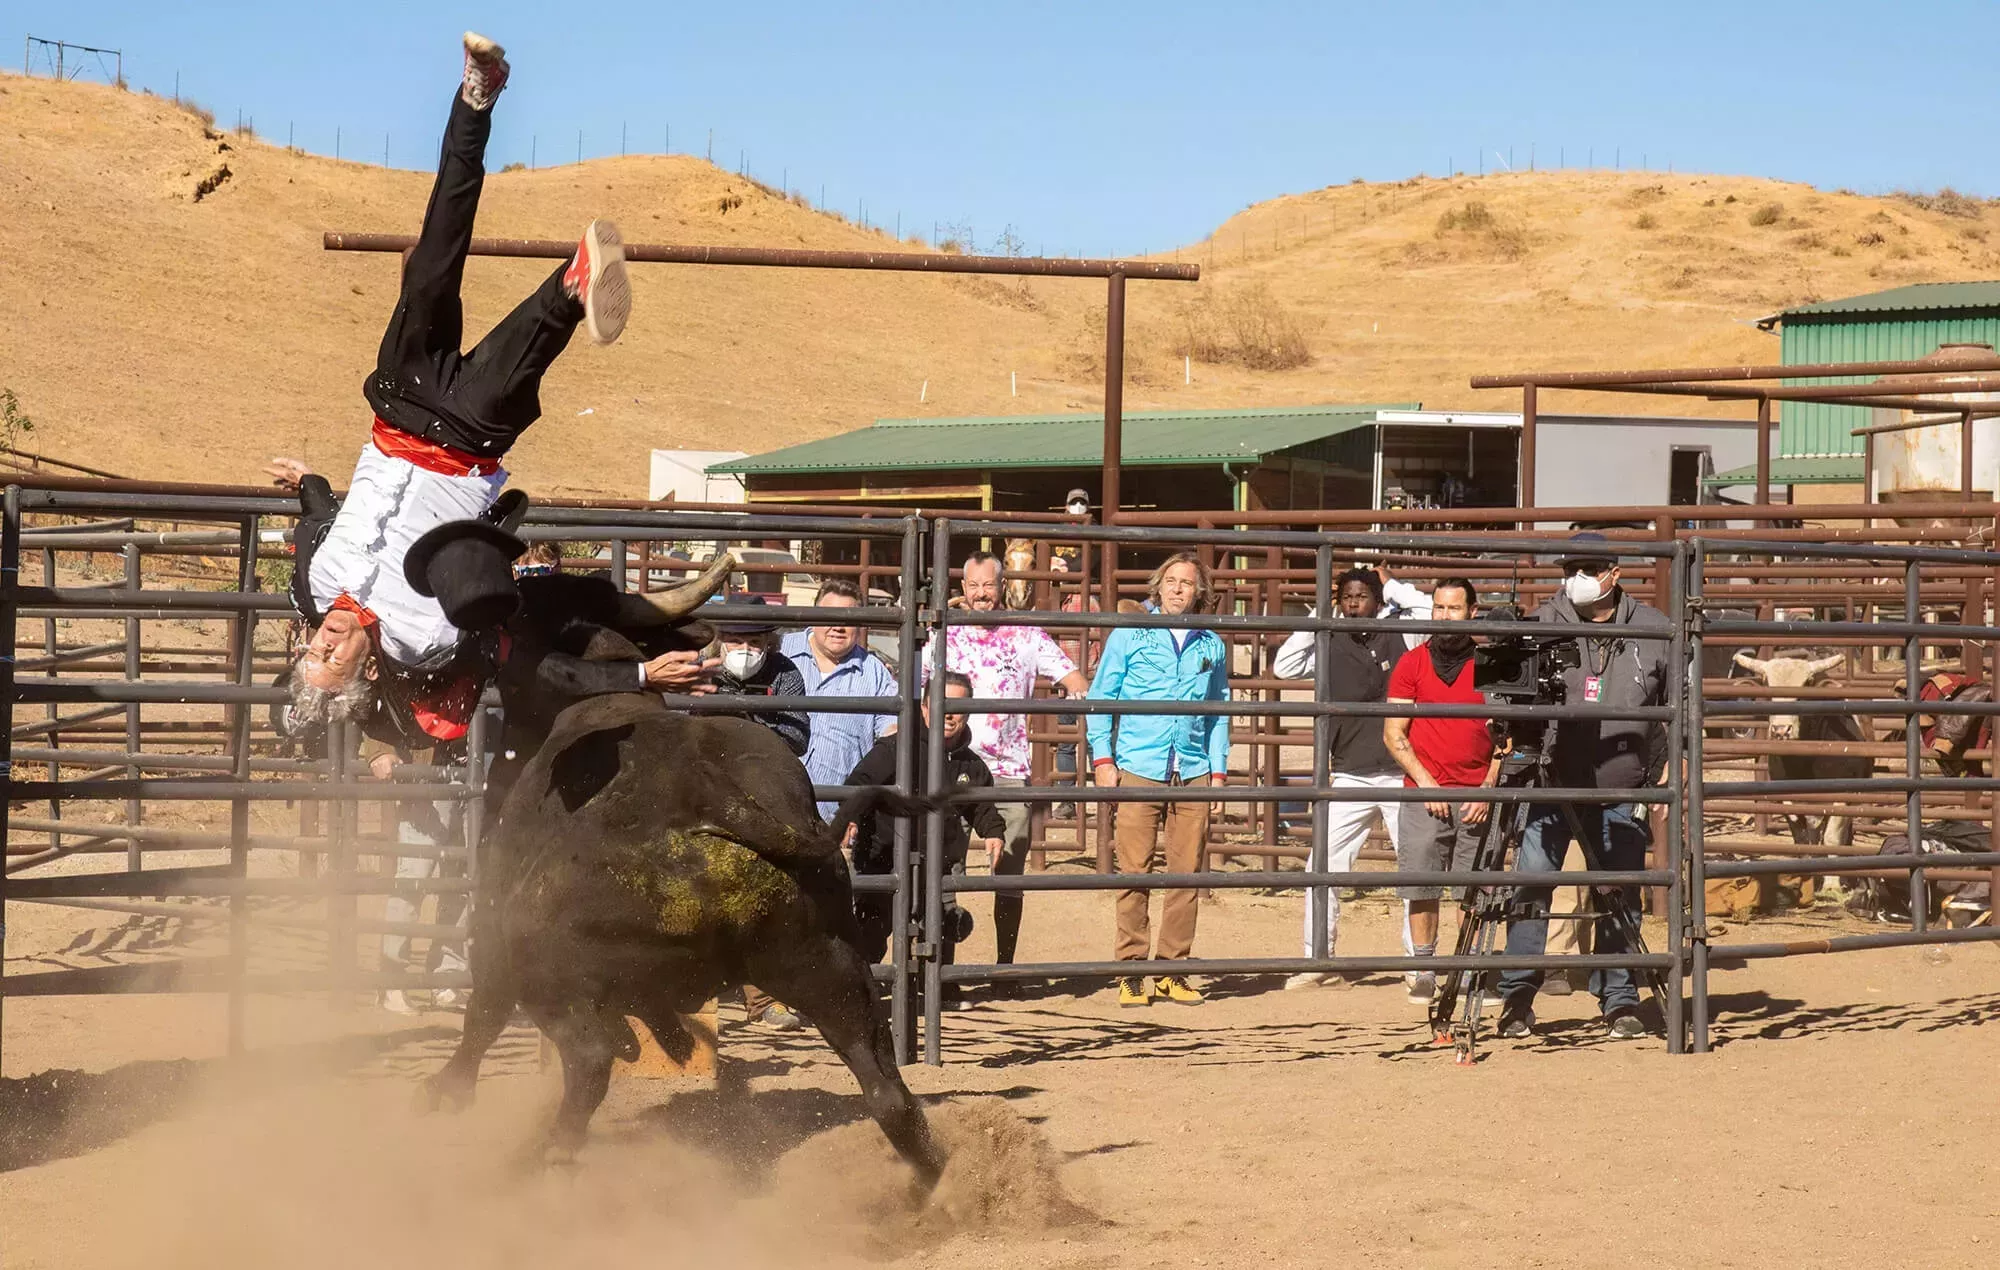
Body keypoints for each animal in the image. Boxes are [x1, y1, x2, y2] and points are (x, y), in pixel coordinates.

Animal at [420, 692, 944, 1184]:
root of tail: (709, 796)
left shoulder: (495, 940)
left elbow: (483, 1016)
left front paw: (447, 1092)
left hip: (541, 972)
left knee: (587, 1059)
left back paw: (549, 1152)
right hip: (830, 967)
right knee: (886, 1093)